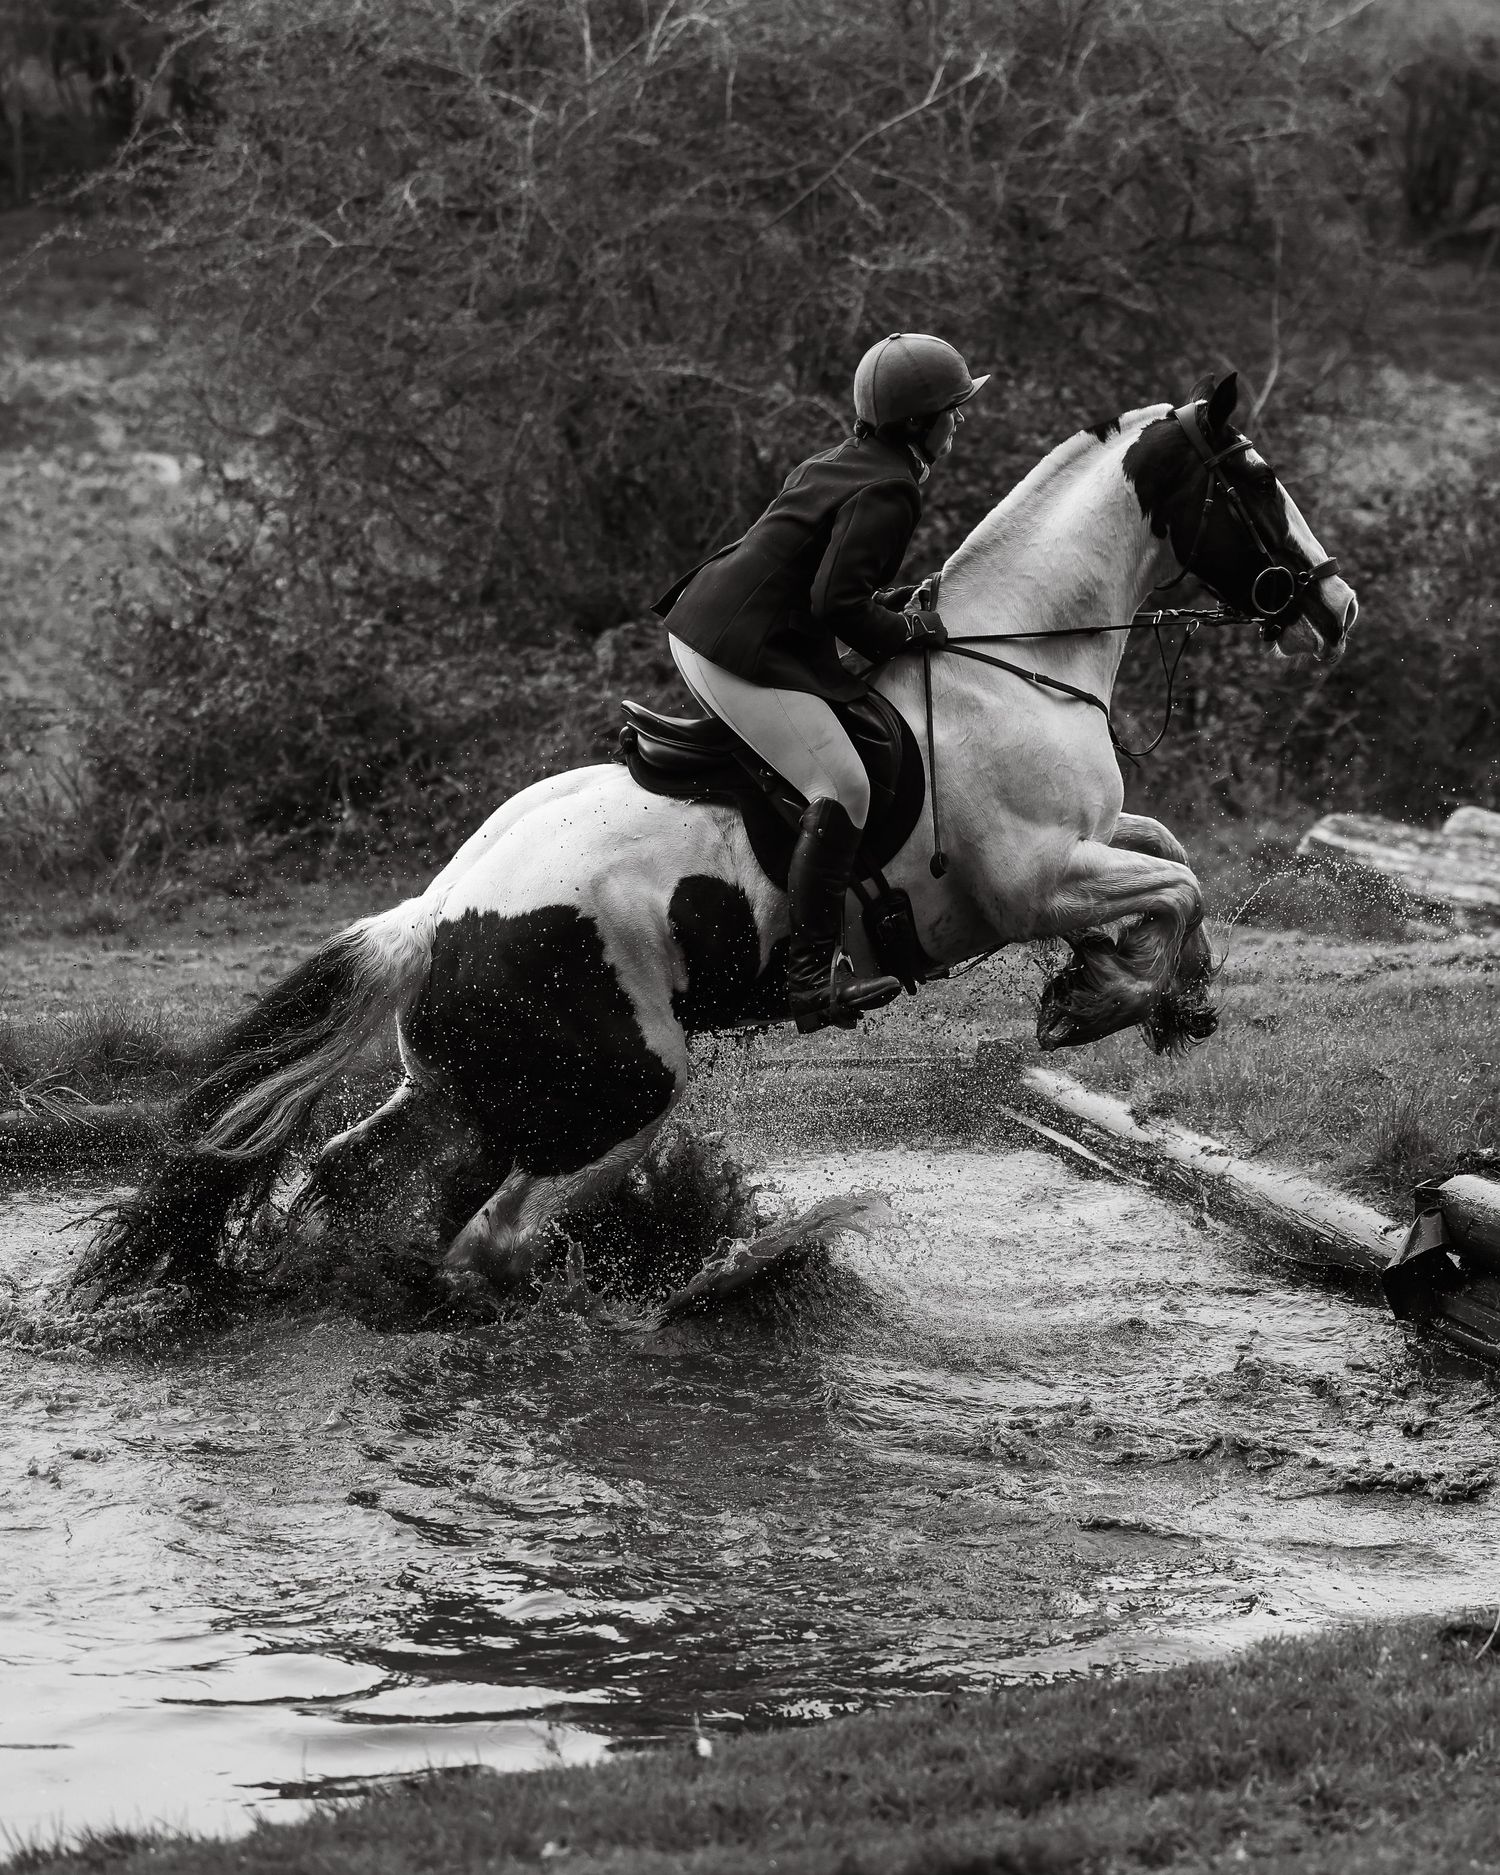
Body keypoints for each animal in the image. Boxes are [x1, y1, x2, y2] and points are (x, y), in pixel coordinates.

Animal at [76, 372, 1357, 1301]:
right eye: (1256, 477)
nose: (1338, 605)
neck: (1016, 660)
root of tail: (435, 916)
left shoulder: (1089, 840)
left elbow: (1175, 857)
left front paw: (1163, 998)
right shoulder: (1033, 881)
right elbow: (1174, 886)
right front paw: (1100, 1001)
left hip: (466, 1083)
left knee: (361, 1176)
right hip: (617, 1087)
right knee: (494, 1238)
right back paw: (692, 1284)